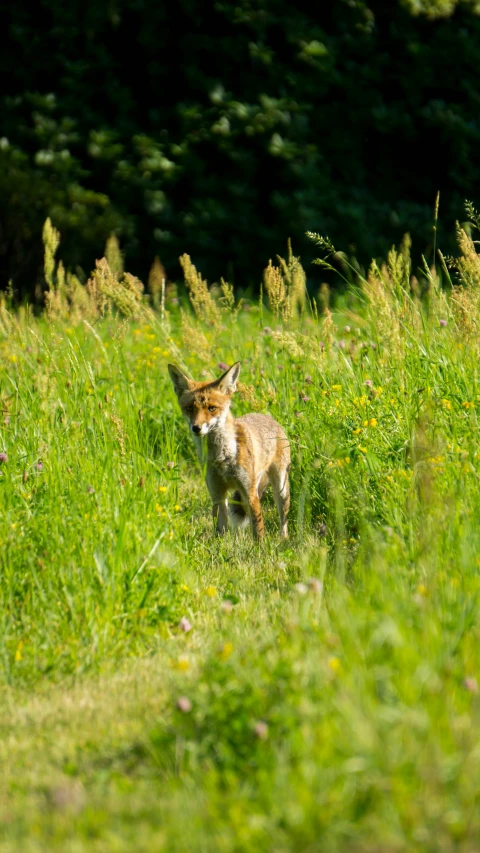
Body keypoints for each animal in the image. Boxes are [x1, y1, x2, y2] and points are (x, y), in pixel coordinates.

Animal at [167, 362, 290, 540]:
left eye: (211, 408)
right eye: (189, 408)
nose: (196, 428)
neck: (222, 458)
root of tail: (268, 417)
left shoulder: (249, 493)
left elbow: (258, 531)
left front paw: (261, 547)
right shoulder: (217, 494)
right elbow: (220, 531)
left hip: (279, 489)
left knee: (282, 518)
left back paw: (283, 538)